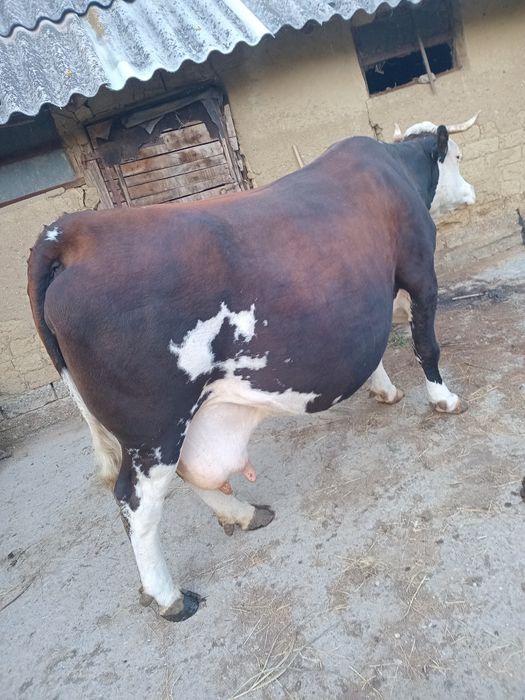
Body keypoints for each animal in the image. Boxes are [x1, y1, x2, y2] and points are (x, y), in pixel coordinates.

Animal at [27, 114, 477, 622]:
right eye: (457, 156)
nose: (471, 192)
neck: (395, 170)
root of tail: (71, 232)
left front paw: (385, 390)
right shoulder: (420, 272)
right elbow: (427, 345)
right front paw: (444, 399)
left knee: (186, 473)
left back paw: (242, 514)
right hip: (152, 427)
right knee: (137, 502)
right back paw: (169, 597)